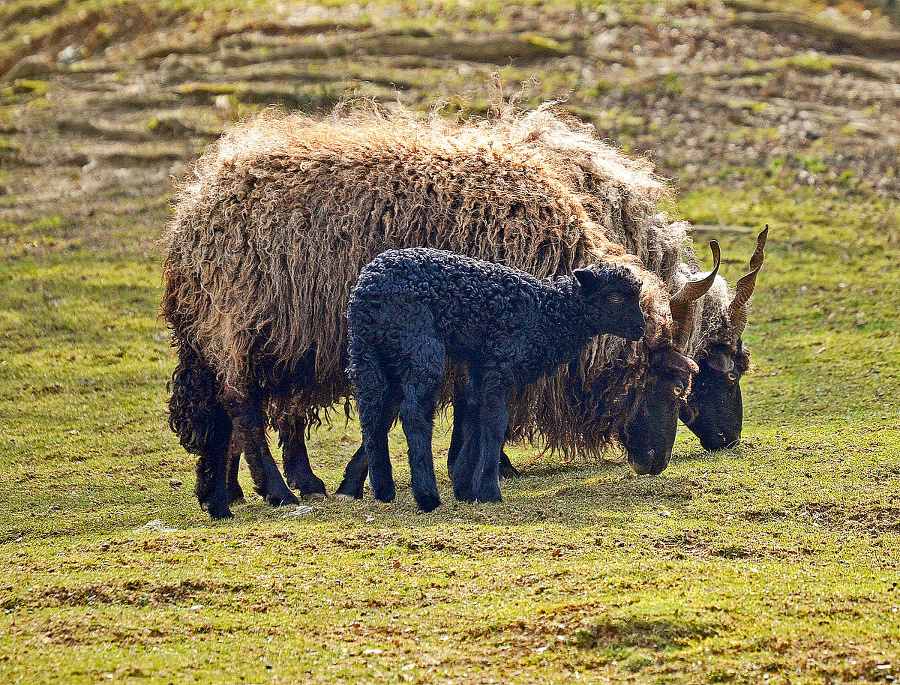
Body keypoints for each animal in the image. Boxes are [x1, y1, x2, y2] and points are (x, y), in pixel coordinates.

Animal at [344, 248, 648, 510]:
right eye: (616, 298)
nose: (641, 328)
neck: (546, 313)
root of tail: (367, 291)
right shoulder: (501, 362)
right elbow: (495, 423)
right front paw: (489, 490)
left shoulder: (481, 368)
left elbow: (474, 421)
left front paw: (465, 488)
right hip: (417, 342)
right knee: (414, 415)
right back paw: (427, 496)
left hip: (373, 352)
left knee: (373, 414)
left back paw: (383, 491)